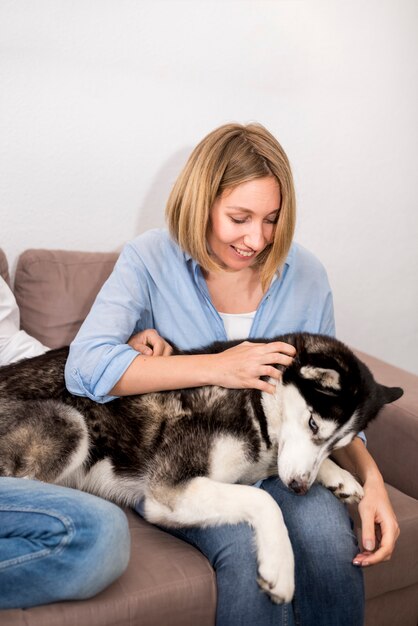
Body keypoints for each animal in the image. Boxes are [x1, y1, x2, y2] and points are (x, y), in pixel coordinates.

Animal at [0, 334, 404, 604]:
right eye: (314, 424)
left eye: (338, 444)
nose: (299, 489)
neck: (255, 407)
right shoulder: (169, 490)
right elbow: (265, 501)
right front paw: (280, 568)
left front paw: (341, 477)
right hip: (69, 425)